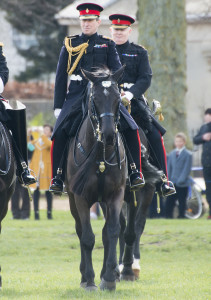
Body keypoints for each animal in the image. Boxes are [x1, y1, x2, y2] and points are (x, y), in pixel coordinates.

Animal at [65, 66, 126, 290]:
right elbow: (87, 237)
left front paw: (108, 278)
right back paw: (85, 276)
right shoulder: (80, 197)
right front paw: (89, 279)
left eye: (118, 99)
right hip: (72, 200)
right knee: (80, 230)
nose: (108, 135)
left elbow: (112, 232)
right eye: (95, 99)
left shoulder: (116, 195)